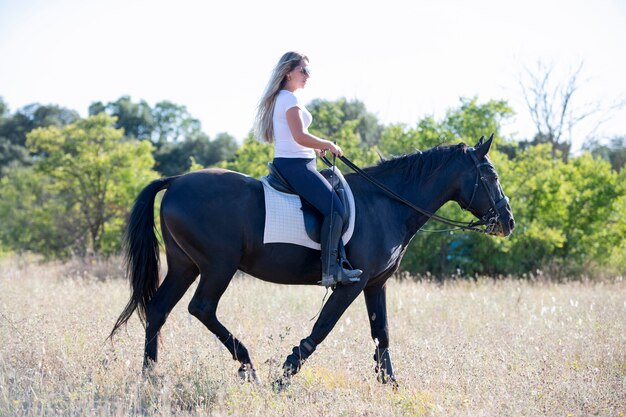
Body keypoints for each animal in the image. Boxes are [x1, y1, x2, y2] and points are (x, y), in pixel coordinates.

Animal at [111, 136, 512, 386]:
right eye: (490, 175)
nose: (507, 221)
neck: (387, 204)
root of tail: (177, 181)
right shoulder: (352, 284)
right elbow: (321, 330)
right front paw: (284, 376)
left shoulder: (377, 284)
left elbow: (381, 334)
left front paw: (392, 385)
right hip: (217, 266)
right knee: (202, 308)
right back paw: (249, 366)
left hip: (185, 266)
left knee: (158, 309)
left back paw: (150, 377)